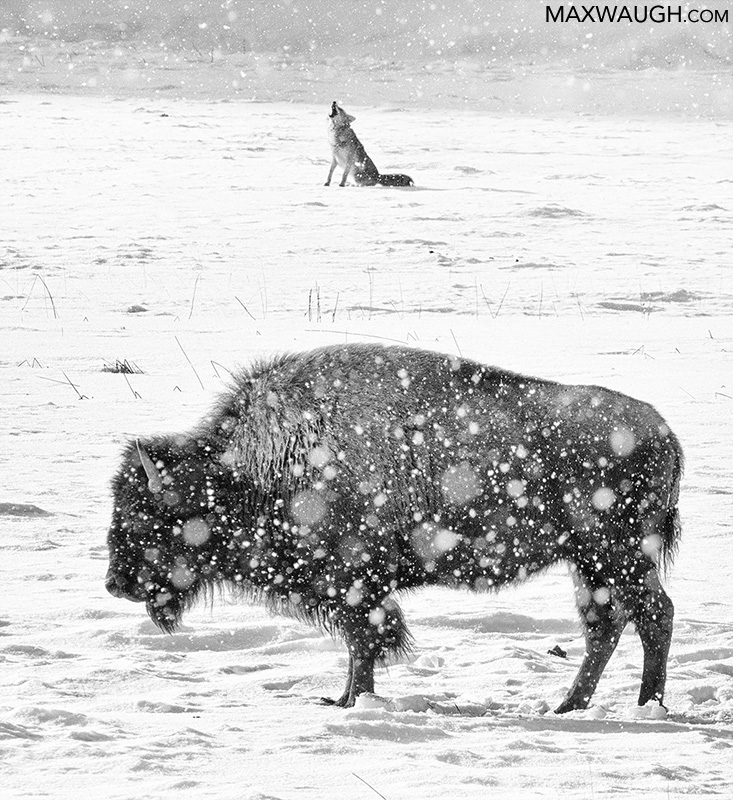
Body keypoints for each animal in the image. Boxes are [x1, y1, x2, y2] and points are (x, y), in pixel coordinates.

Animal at [106, 343, 683, 711]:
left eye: (145, 514)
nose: (115, 583)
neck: (251, 469)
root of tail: (664, 432)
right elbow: (360, 643)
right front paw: (342, 698)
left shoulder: (355, 581)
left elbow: (366, 640)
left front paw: (353, 702)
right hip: (589, 563)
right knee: (607, 625)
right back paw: (568, 705)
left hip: (616, 555)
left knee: (652, 615)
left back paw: (645, 705)